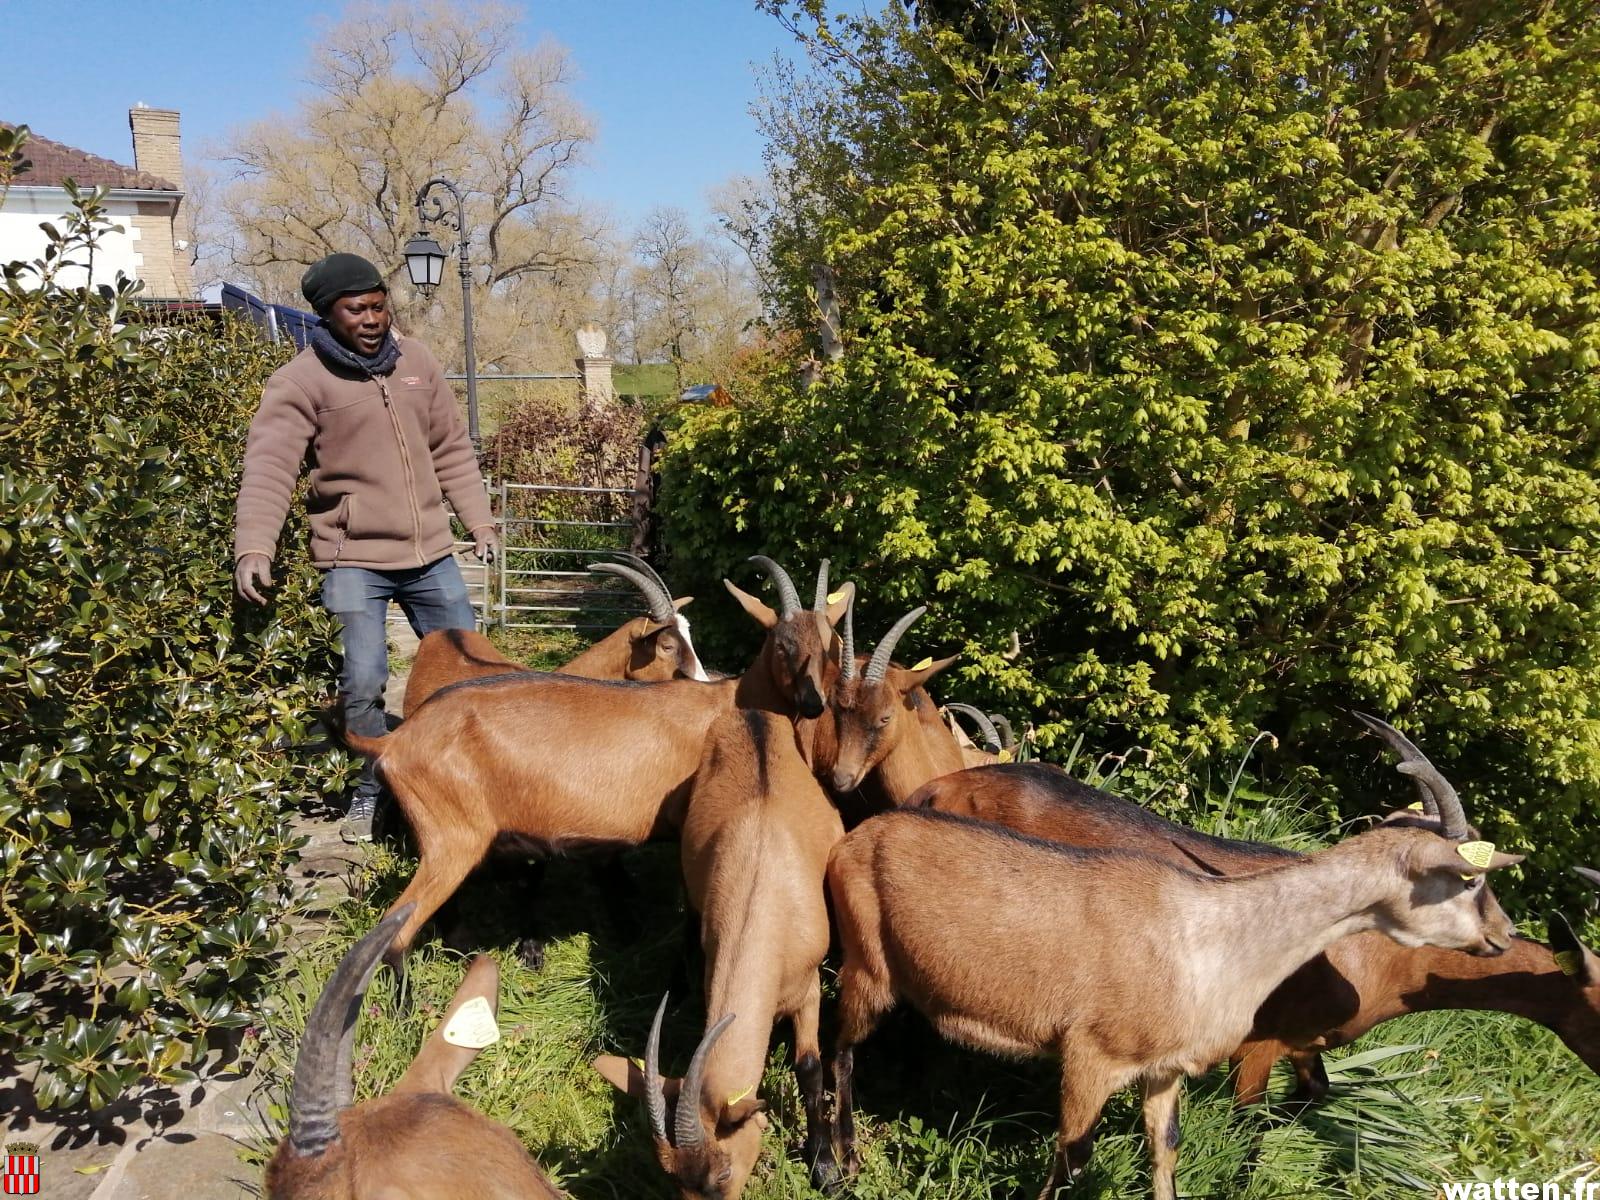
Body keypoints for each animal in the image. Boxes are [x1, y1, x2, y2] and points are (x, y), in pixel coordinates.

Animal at [832, 784, 1516, 1196]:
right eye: (1467, 879)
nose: (1505, 935)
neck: (1209, 935)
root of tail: (860, 835)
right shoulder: (1091, 1056)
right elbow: (1071, 1157)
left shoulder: (1162, 1070)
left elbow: (1164, 1149)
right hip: (866, 964)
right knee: (836, 1049)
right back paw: (837, 1166)